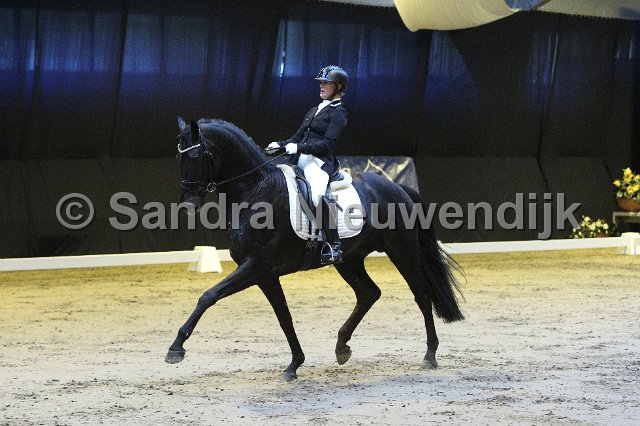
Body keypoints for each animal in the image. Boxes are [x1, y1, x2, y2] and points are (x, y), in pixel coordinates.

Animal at [166, 117, 464, 380]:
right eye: (179, 159)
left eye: (194, 157)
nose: (188, 205)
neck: (257, 190)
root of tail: (396, 187)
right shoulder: (265, 275)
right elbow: (284, 317)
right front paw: (294, 365)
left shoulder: (255, 267)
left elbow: (208, 296)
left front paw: (176, 348)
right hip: (350, 260)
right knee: (369, 293)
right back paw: (342, 347)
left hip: (402, 251)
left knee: (421, 295)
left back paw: (430, 355)